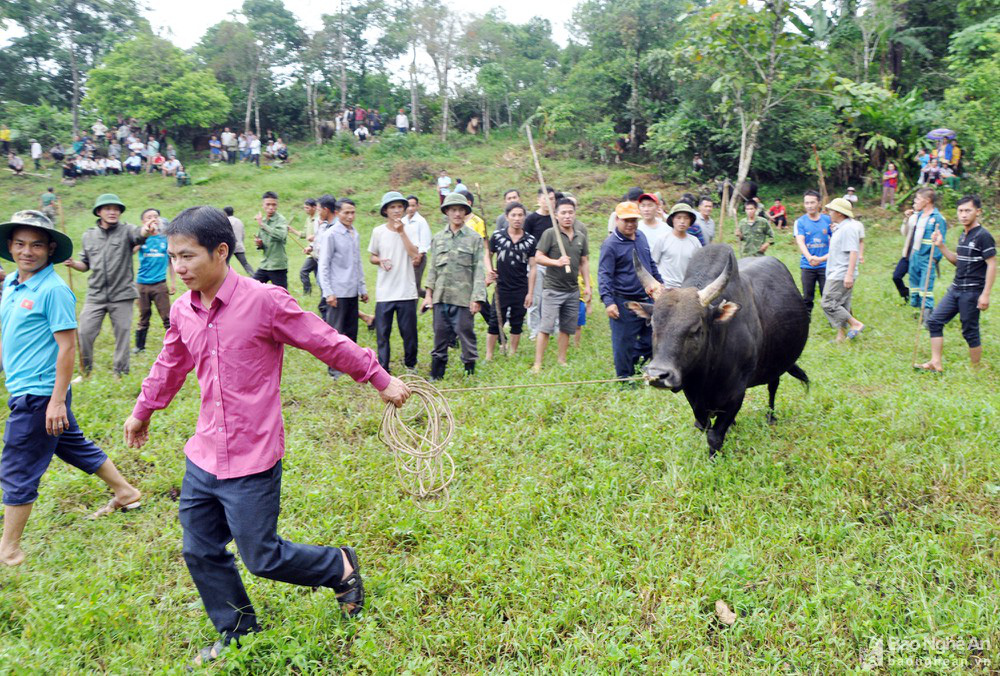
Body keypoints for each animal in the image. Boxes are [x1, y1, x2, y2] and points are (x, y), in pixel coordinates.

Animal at [628, 243, 808, 454]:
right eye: (653, 324)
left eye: (696, 329)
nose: (657, 375)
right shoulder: (693, 395)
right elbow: (704, 425)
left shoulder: (736, 393)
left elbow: (714, 436)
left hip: (777, 364)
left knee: (773, 387)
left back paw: (770, 416)